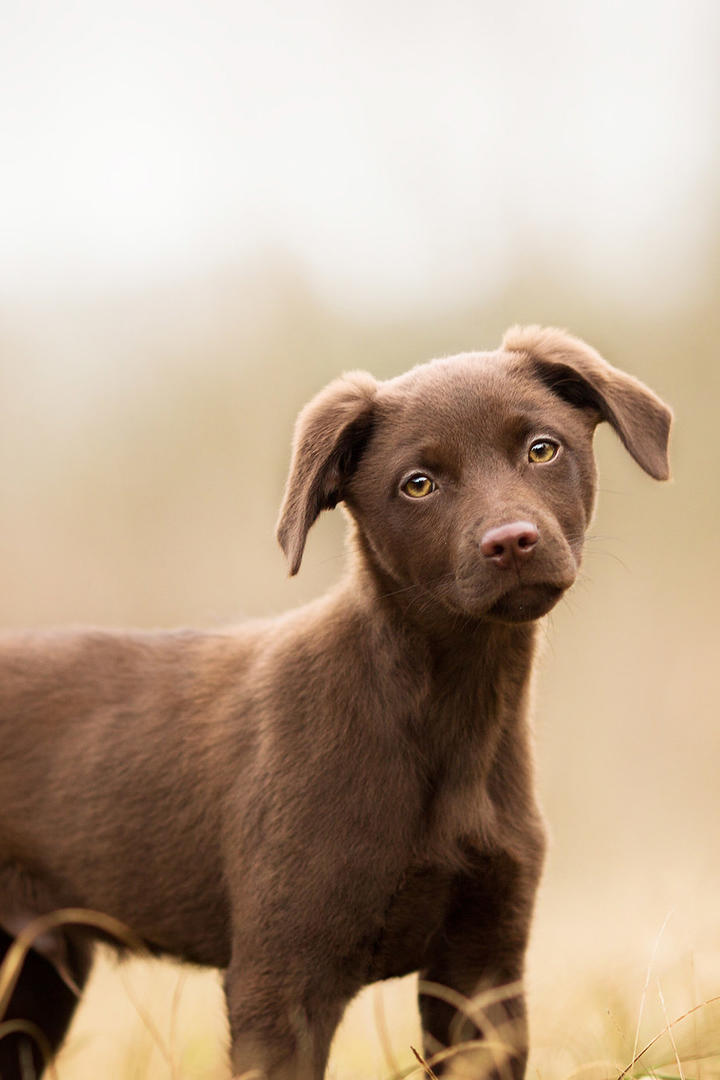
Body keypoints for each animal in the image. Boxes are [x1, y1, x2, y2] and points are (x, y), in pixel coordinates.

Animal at [0, 328, 669, 1080]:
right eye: (418, 484)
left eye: (542, 448)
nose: (511, 542)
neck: (444, 712)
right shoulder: (281, 977)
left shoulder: (484, 970)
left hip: (36, 978)